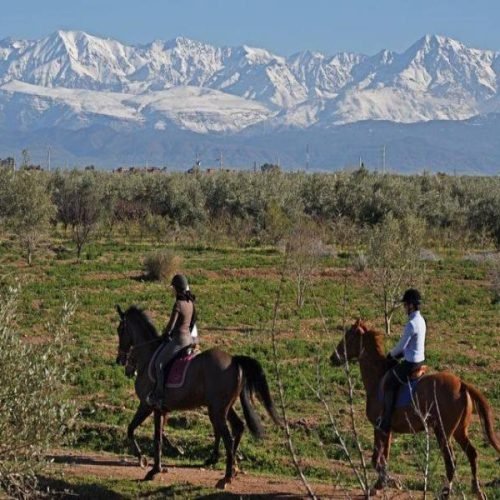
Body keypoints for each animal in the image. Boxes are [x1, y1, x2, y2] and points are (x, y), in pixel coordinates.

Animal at [115, 304, 284, 488]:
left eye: (120, 330)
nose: (120, 361)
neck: (148, 356)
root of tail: (234, 360)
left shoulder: (147, 405)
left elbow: (138, 431)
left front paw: (145, 462)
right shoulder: (161, 408)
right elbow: (159, 434)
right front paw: (165, 459)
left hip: (216, 410)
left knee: (228, 438)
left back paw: (225, 478)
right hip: (224, 407)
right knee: (238, 427)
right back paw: (232, 469)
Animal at [330, 318, 498, 498]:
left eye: (348, 337)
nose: (333, 357)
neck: (378, 379)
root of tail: (461, 384)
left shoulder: (379, 428)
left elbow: (376, 459)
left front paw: (388, 483)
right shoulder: (387, 430)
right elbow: (384, 458)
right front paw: (380, 484)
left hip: (443, 432)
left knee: (450, 462)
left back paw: (445, 493)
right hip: (460, 430)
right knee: (472, 454)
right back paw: (477, 491)